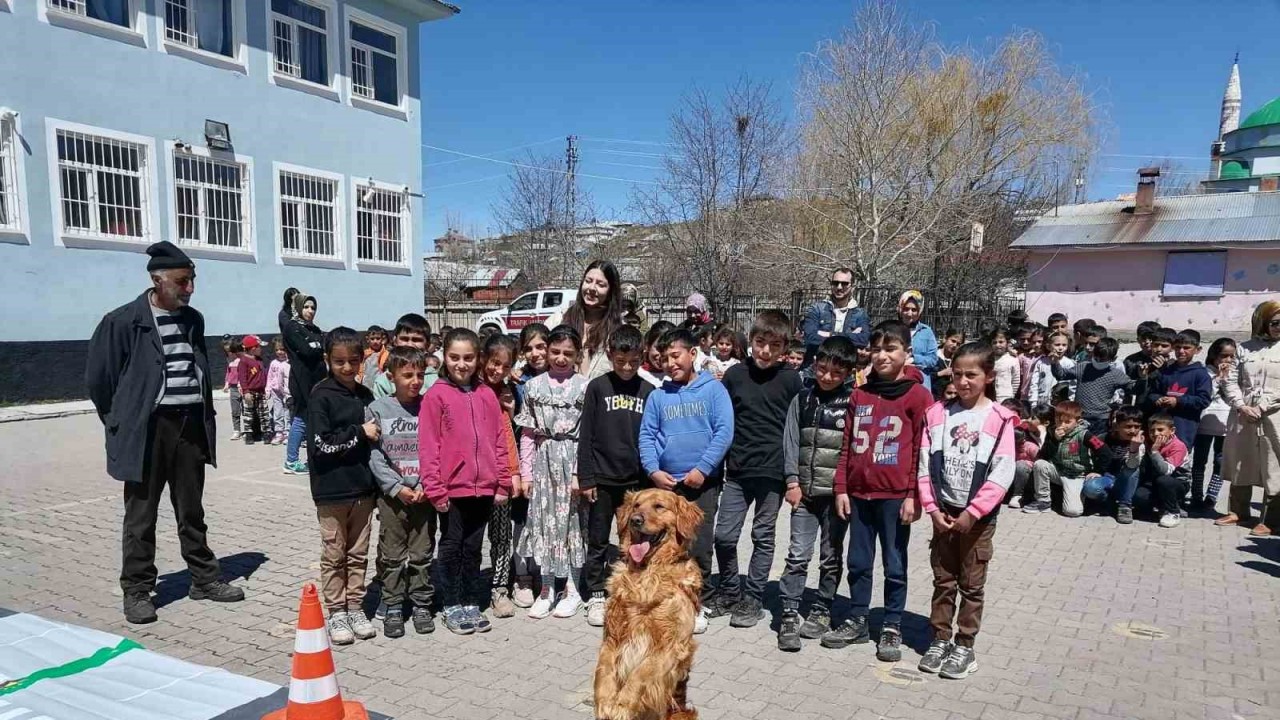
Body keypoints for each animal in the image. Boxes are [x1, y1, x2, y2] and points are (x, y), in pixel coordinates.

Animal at [593, 484, 706, 712]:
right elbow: (604, 673)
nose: (635, 519)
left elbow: (641, 673)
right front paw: (606, 703)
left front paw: (622, 705)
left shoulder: (671, 645)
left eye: (659, 506)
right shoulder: (612, 636)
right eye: (636, 505)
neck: (646, 573)